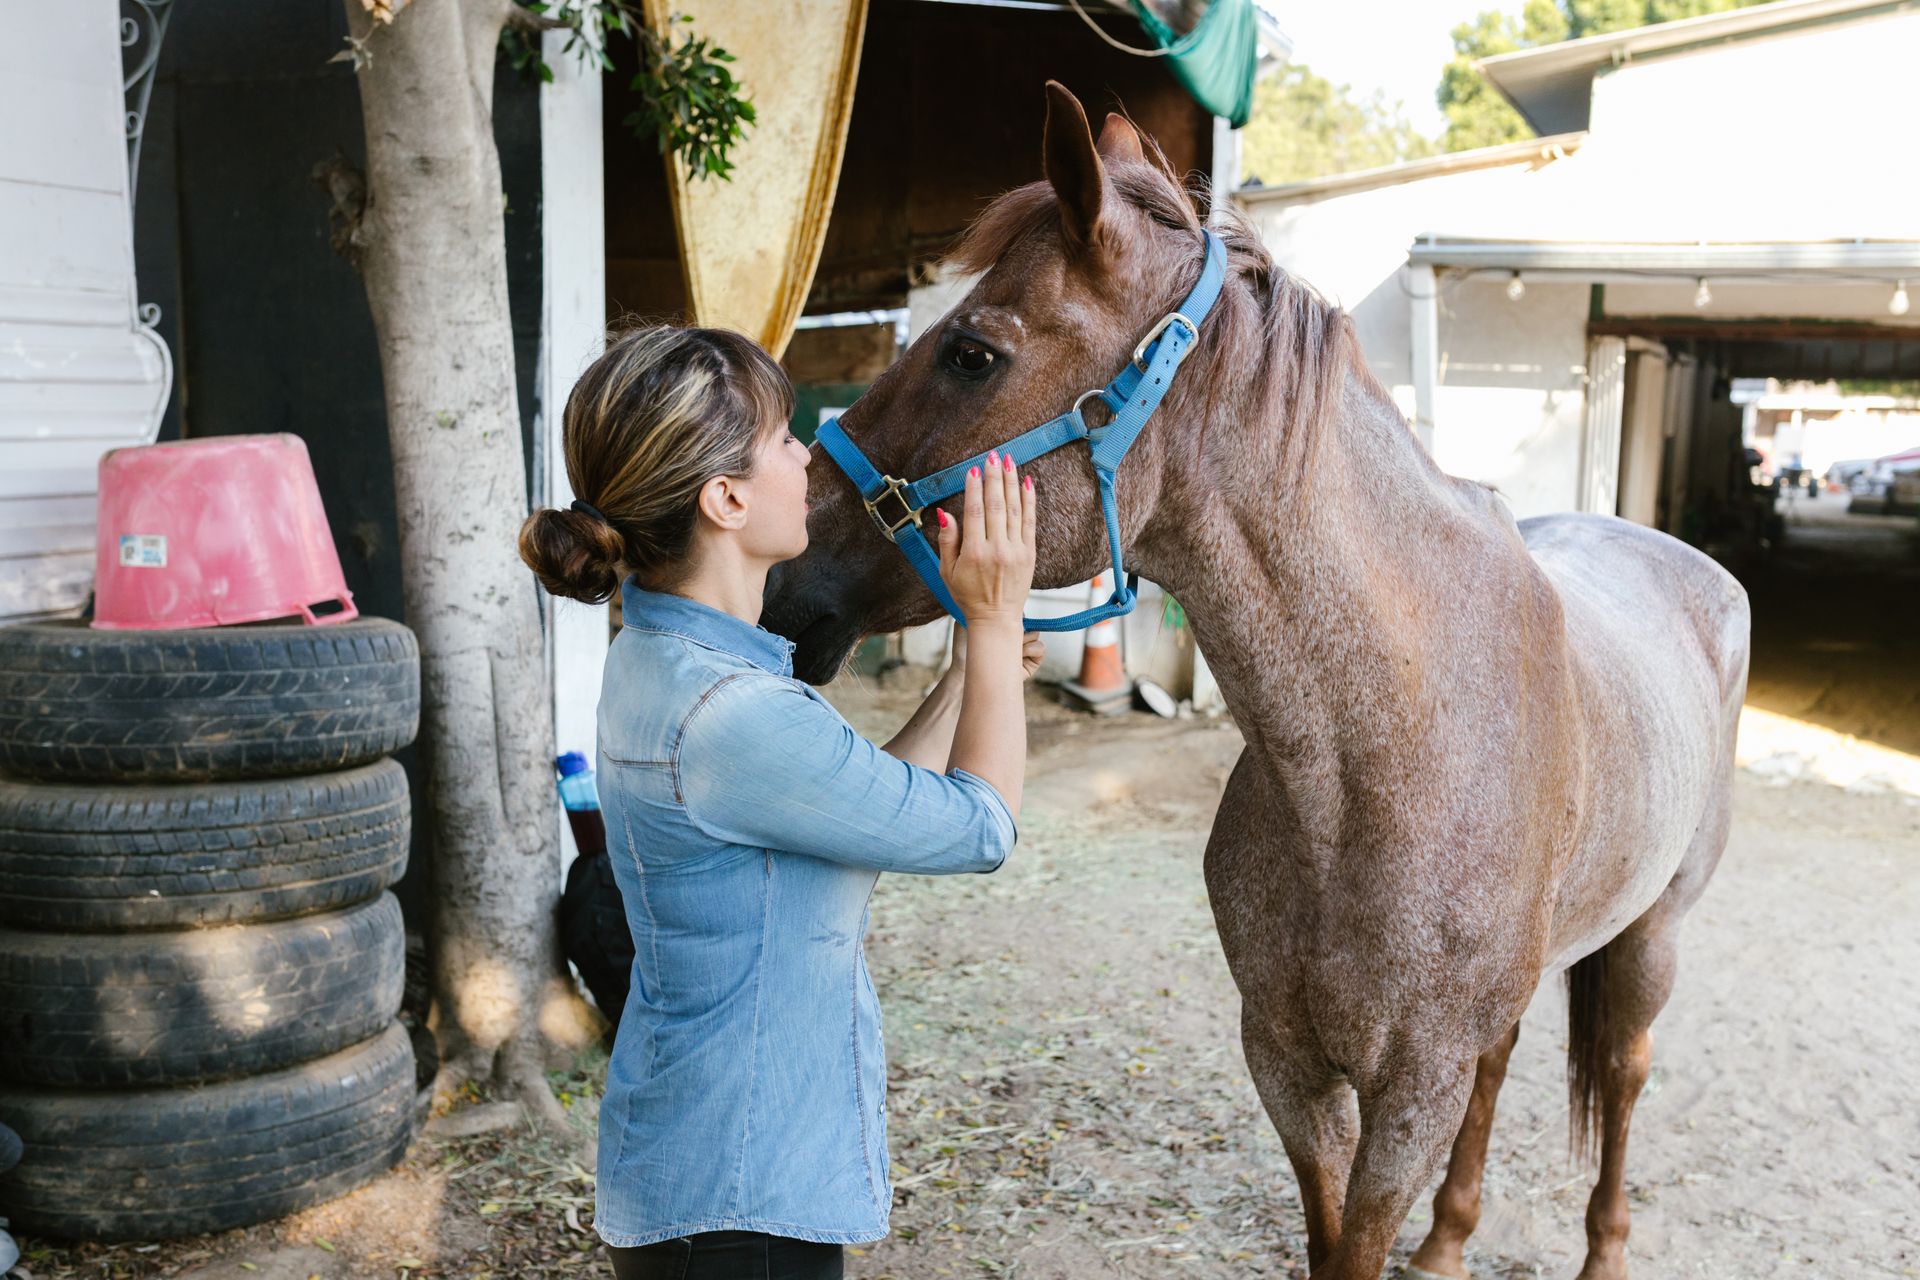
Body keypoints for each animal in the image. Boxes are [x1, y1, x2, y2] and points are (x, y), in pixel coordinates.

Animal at [761, 83, 1750, 1280]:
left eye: (971, 354)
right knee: (1509, 1059)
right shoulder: (1285, 1060)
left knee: (1623, 1070)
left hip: (1652, 936)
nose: (783, 572)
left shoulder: (1409, 1090)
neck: (1377, 763)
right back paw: (1448, 1241)